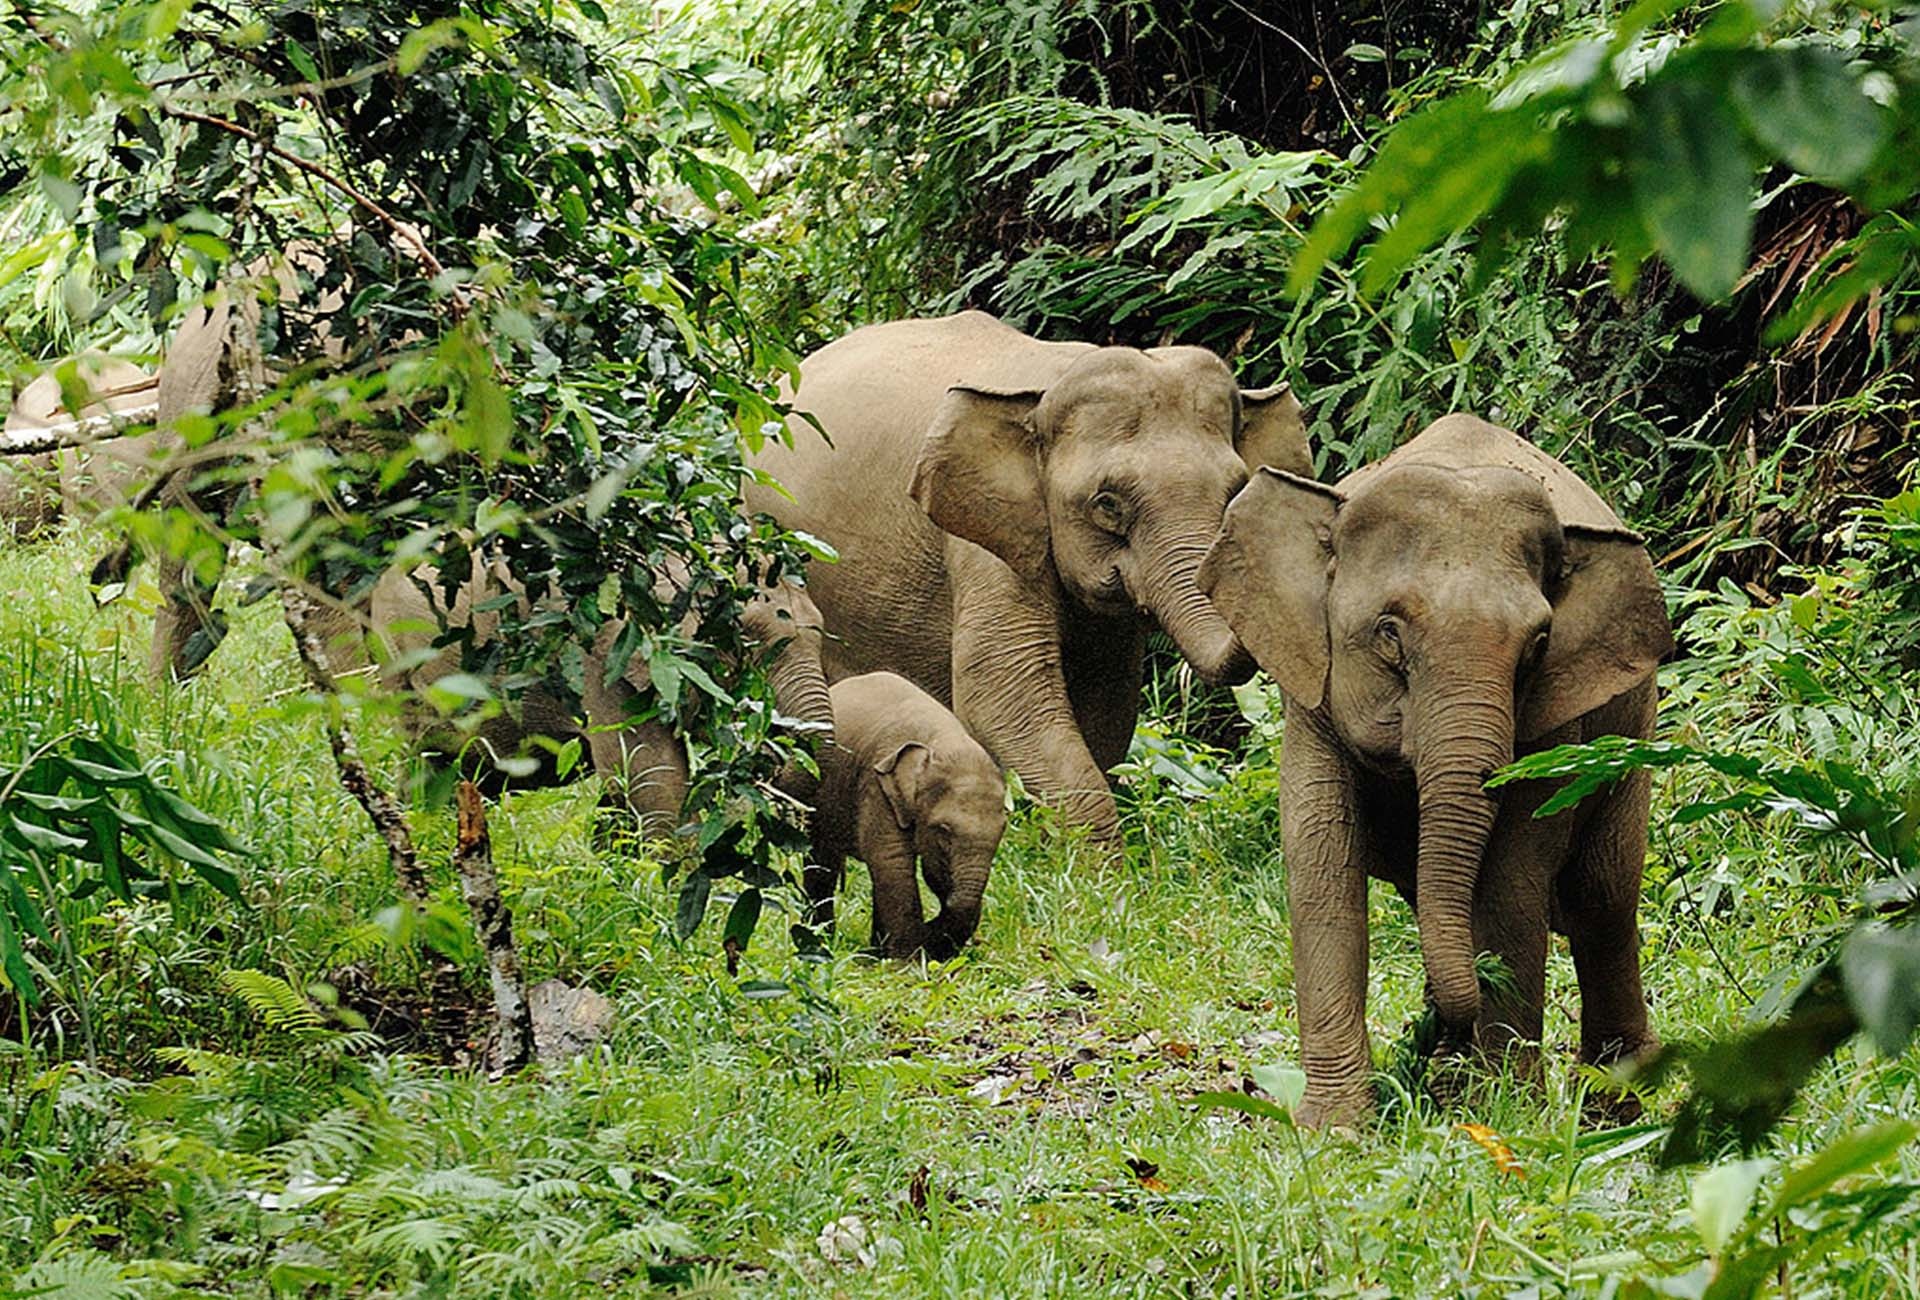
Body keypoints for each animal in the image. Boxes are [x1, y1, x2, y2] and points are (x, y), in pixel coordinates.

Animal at [741, 311, 1313, 844]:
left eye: (1236, 490)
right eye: (1108, 504)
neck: (1051, 381)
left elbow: (1106, 695)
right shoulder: (980, 536)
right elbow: (998, 690)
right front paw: (1101, 866)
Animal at [802, 675, 1006, 960]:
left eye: (1002, 831)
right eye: (943, 830)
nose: (929, 927)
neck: (941, 740)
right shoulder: (877, 784)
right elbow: (892, 861)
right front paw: (906, 962)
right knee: (822, 863)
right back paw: (822, 940)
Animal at [1198, 416, 1666, 1129]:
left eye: (1538, 645)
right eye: (1389, 633)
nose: (1439, 1035)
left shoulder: (1558, 722)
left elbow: (1512, 879)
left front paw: (1503, 1111)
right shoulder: (1310, 697)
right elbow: (1321, 866)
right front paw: (1336, 1127)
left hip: (1631, 735)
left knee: (1602, 898)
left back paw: (1611, 1113)